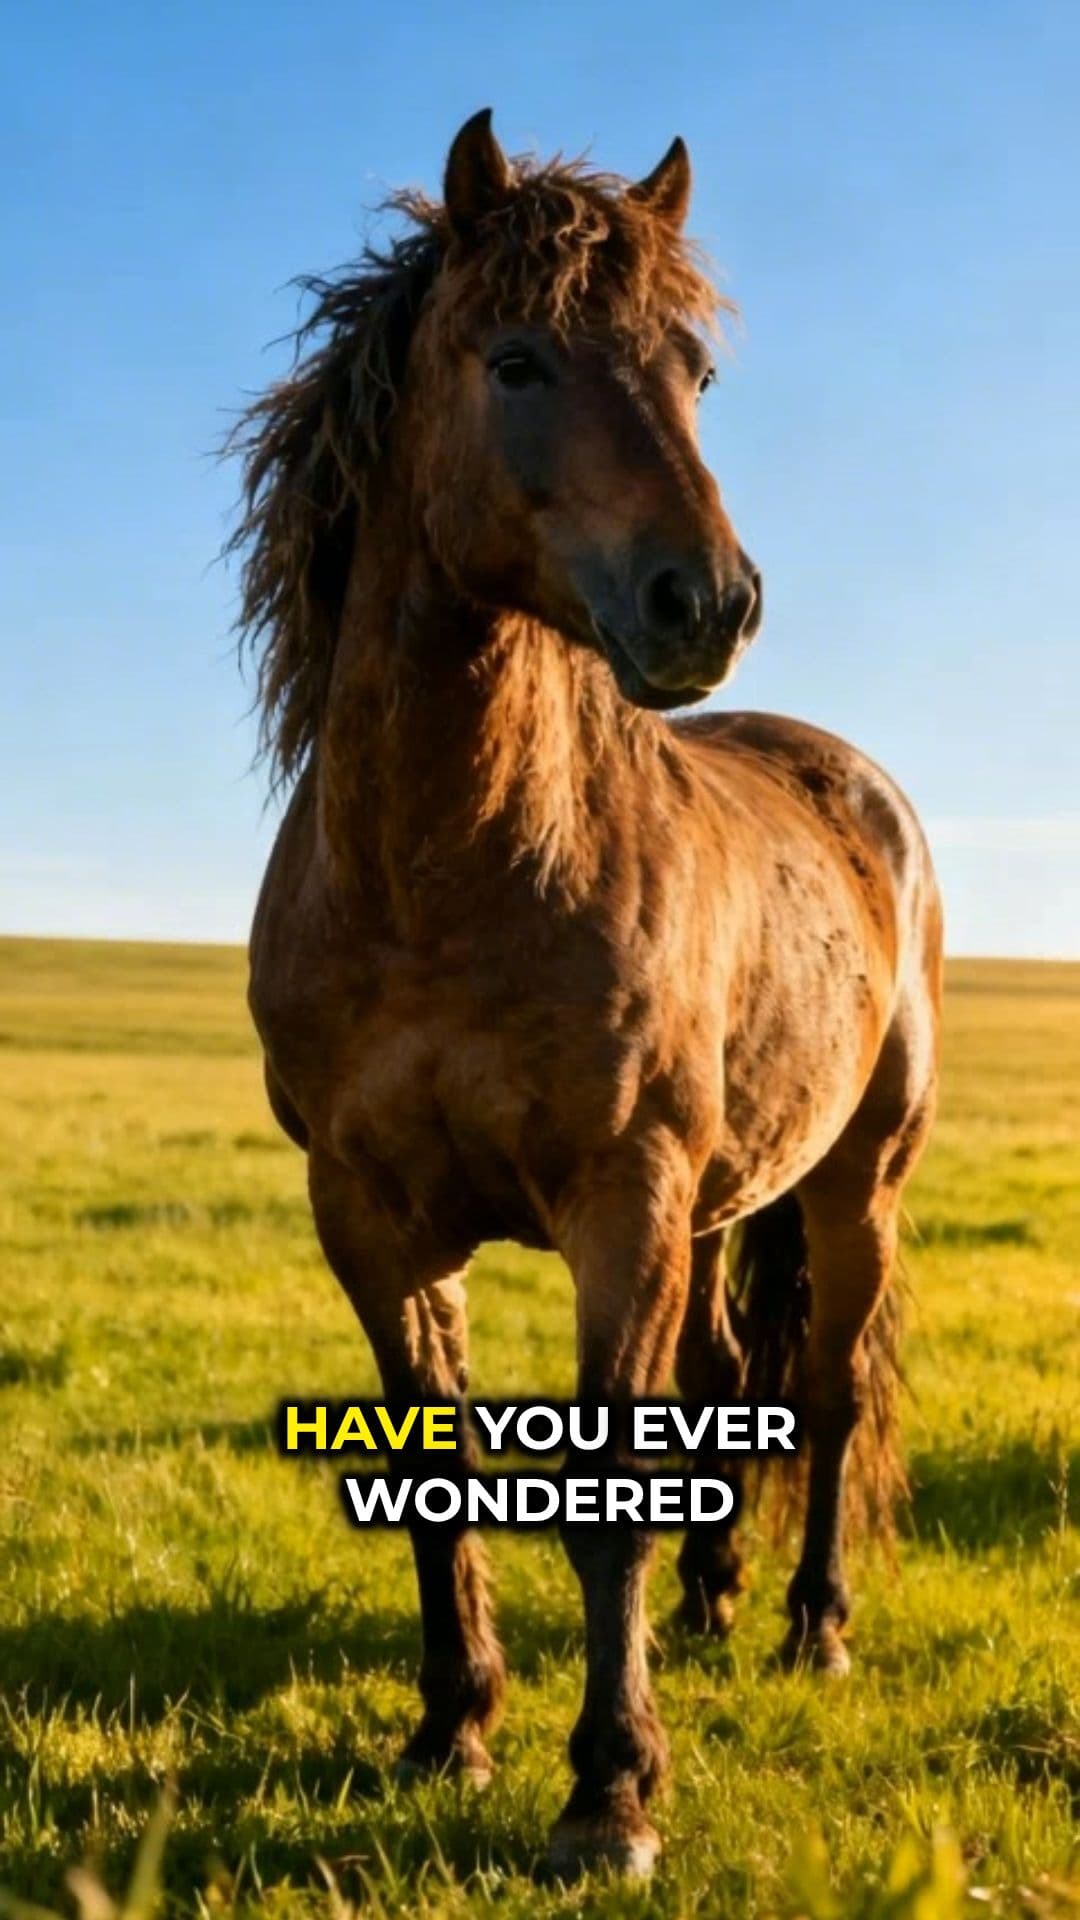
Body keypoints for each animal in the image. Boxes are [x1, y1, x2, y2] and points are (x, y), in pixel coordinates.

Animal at [231, 110, 942, 1879]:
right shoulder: (369, 1218)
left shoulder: (623, 1200)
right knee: (728, 1390)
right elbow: (439, 1470)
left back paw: (811, 1626)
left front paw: (610, 1793)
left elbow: (612, 1475)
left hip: (854, 1185)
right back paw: (712, 1605)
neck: (444, 877)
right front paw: (451, 1732)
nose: (710, 604)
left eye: (696, 370)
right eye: (517, 360)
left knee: (825, 1396)